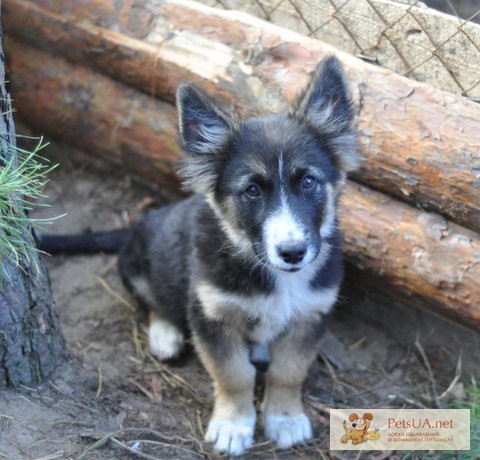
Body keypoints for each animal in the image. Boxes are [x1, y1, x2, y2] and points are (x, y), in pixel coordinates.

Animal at [40, 55, 356, 454]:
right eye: (252, 191)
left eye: (309, 182)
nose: (293, 253)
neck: (269, 273)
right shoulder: (210, 316)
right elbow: (235, 375)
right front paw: (233, 425)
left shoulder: (310, 316)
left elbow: (288, 372)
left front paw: (285, 418)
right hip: (139, 266)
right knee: (153, 303)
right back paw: (166, 335)